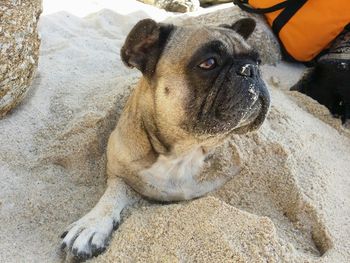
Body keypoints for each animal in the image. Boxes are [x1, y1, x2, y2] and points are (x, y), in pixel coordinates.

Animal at [60, 17, 270, 260]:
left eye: (259, 61)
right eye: (209, 63)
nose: (250, 69)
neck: (184, 151)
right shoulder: (118, 169)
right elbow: (112, 194)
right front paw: (92, 224)